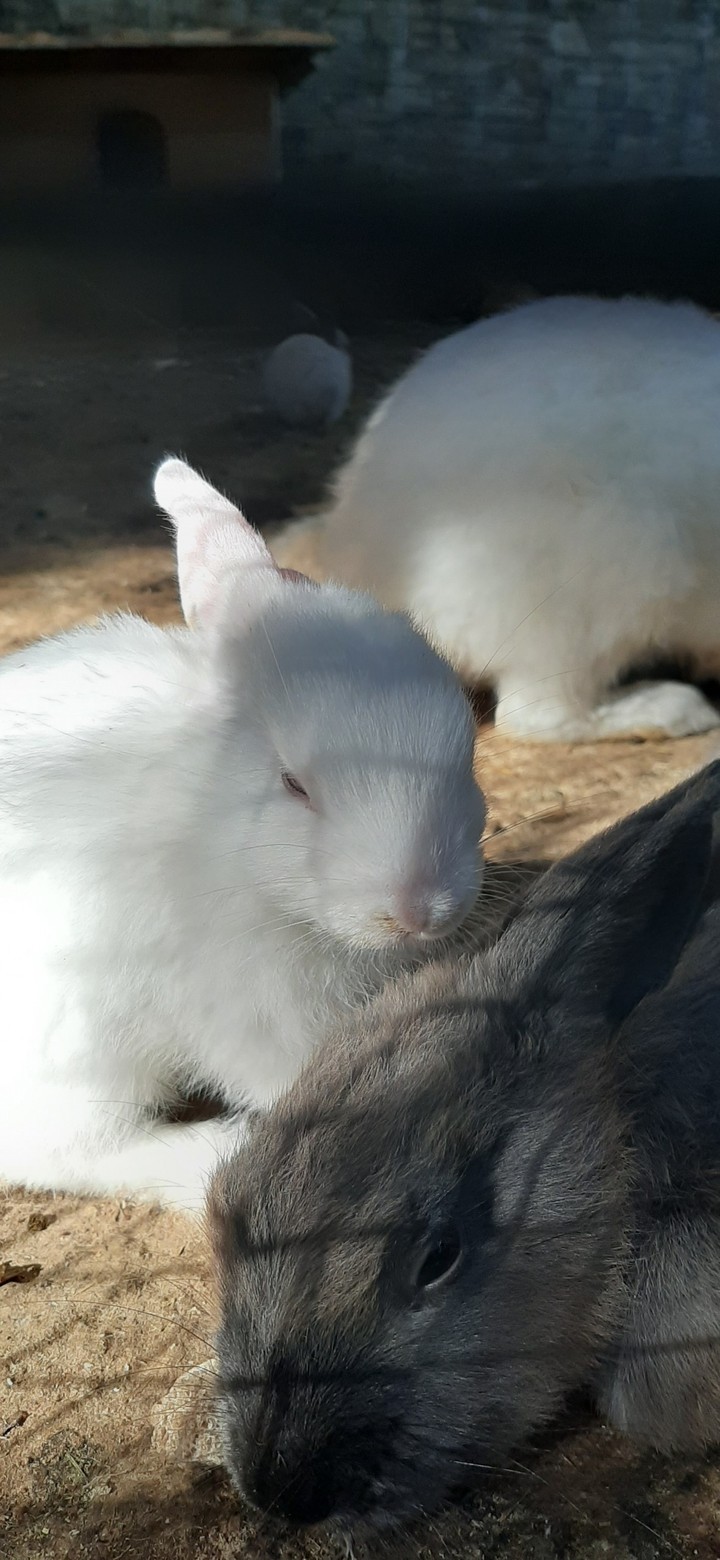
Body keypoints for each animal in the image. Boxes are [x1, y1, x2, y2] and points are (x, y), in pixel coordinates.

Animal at [0, 458, 485, 1211]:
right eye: (293, 785)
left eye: (467, 748)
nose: (418, 910)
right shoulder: (246, 1009)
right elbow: (289, 1076)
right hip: (75, 1050)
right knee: (68, 1152)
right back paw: (206, 1154)